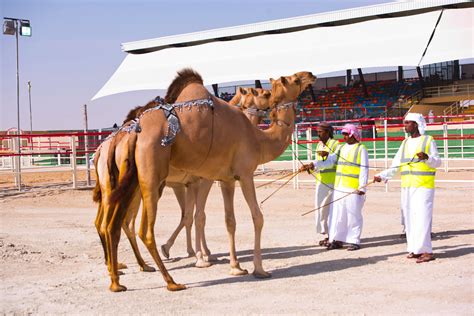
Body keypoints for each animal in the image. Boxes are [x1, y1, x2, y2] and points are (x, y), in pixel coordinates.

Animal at [101, 68, 314, 292]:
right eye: (295, 79)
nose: (311, 74)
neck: (258, 139)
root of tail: (130, 134)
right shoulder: (243, 174)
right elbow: (255, 216)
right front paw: (258, 269)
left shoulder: (225, 179)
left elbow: (227, 220)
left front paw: (235, 266)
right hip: (151, 178)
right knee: (143, 230)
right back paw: (170, 281)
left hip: (129, 181)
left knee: (113, 224)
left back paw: (117, 281)